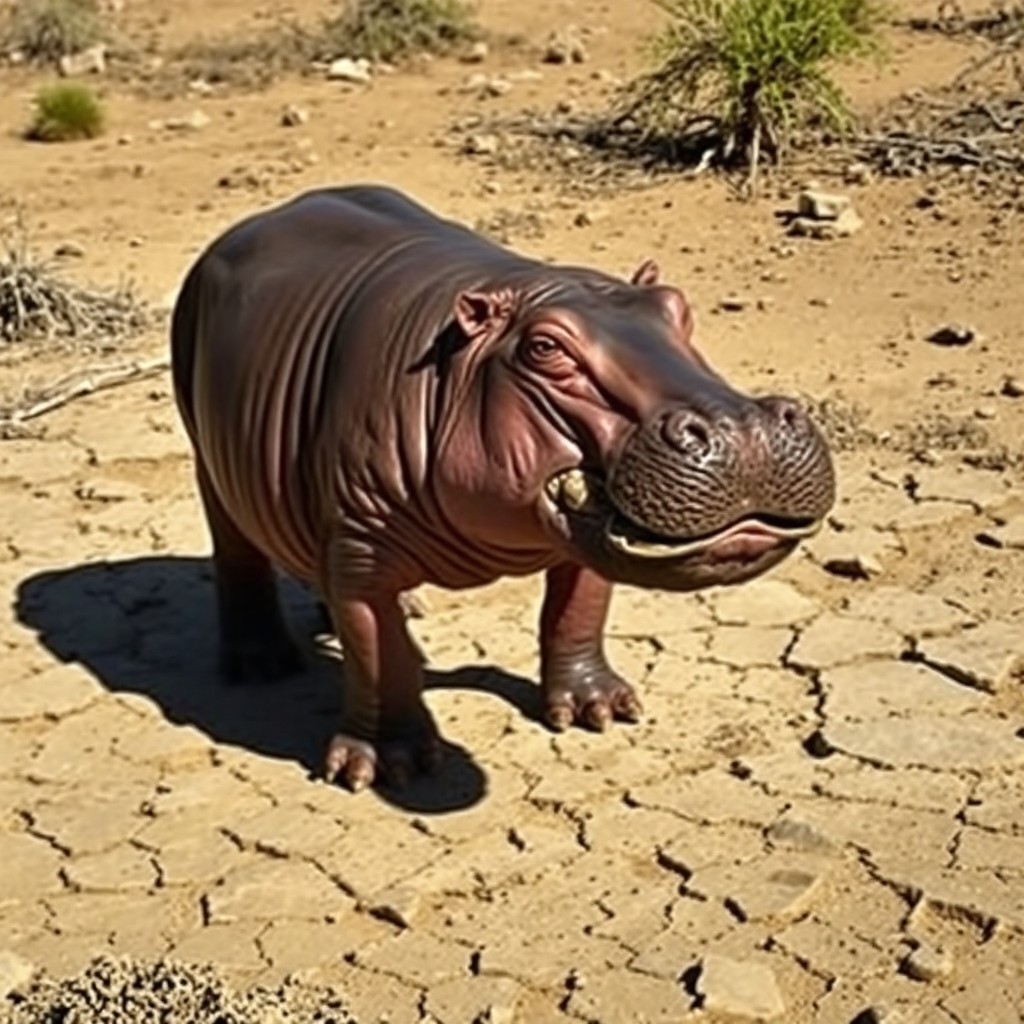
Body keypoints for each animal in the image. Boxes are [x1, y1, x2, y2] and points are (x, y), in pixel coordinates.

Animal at [170, 185, 835, 791]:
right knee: (238, 551)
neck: (462, 359)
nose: (746, 429)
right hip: (209, 456)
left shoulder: (584, 533)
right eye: (544, 347)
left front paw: (601, 710)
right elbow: (377, 651)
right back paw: (261, 664)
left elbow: (577, 611)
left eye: (679, 308)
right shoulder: (361, 539)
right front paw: (388, 767)